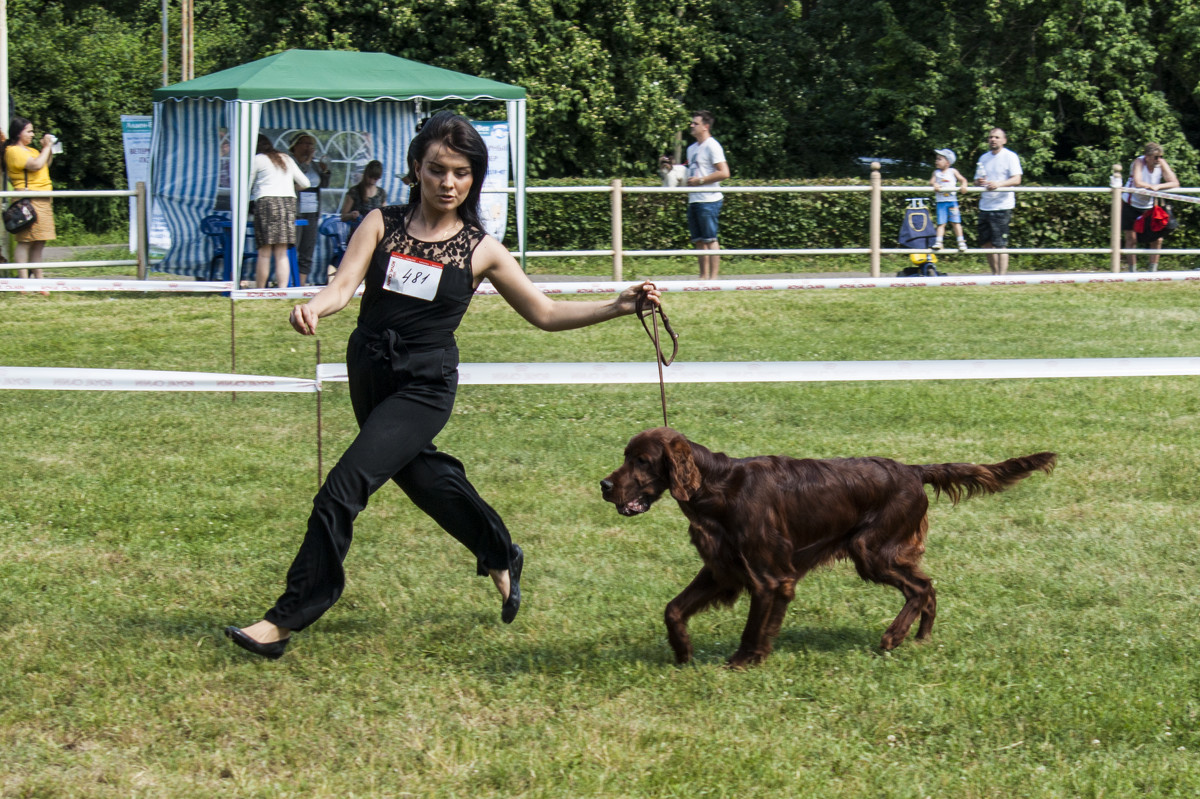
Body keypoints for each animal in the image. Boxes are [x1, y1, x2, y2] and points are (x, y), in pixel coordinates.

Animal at [597, 429, 1051, 667]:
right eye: (626, 456)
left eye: (641, 461)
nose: (604, 485)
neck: (718, 487)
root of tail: (912, 471)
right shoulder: (723, 569)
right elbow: (673, 609)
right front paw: (683, 651)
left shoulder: (769, 577)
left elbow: (752, 627)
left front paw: (742, 661)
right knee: (928, 588)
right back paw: (920, 638)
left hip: (871, 550)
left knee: (920, 588)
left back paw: (893, 637)